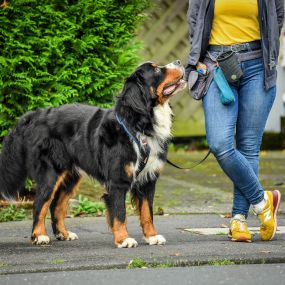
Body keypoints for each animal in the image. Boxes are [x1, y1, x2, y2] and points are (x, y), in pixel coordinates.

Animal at [0, 60, 185, 246]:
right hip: (50, 173)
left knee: (56, 205)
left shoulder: (148, 180)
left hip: (70, 177)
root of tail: (36, 114)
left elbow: (147, 213)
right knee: (40, 203)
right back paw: (39, 235)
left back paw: (63, 234)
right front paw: (123, 239)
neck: (138, 126)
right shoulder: (117, 181)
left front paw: (152, 236)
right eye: (156, 70)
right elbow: (120, 213)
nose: (179, 62)